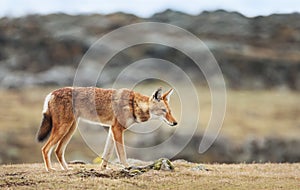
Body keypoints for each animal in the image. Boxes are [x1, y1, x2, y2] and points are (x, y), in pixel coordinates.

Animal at [36, 87, 177, 171]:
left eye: (170, 111)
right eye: (164, 111)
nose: (175, 123)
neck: (133, 104)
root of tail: (51, 93)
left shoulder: (111, 130)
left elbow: (107, 153)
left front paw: (103, 169)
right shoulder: (117, 129)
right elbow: (122, 154)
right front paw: (128, 167)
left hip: (70, 129)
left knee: (58, 150)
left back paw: (66, 169)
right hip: (63, 129)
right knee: (45, 149)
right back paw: (50, 169)